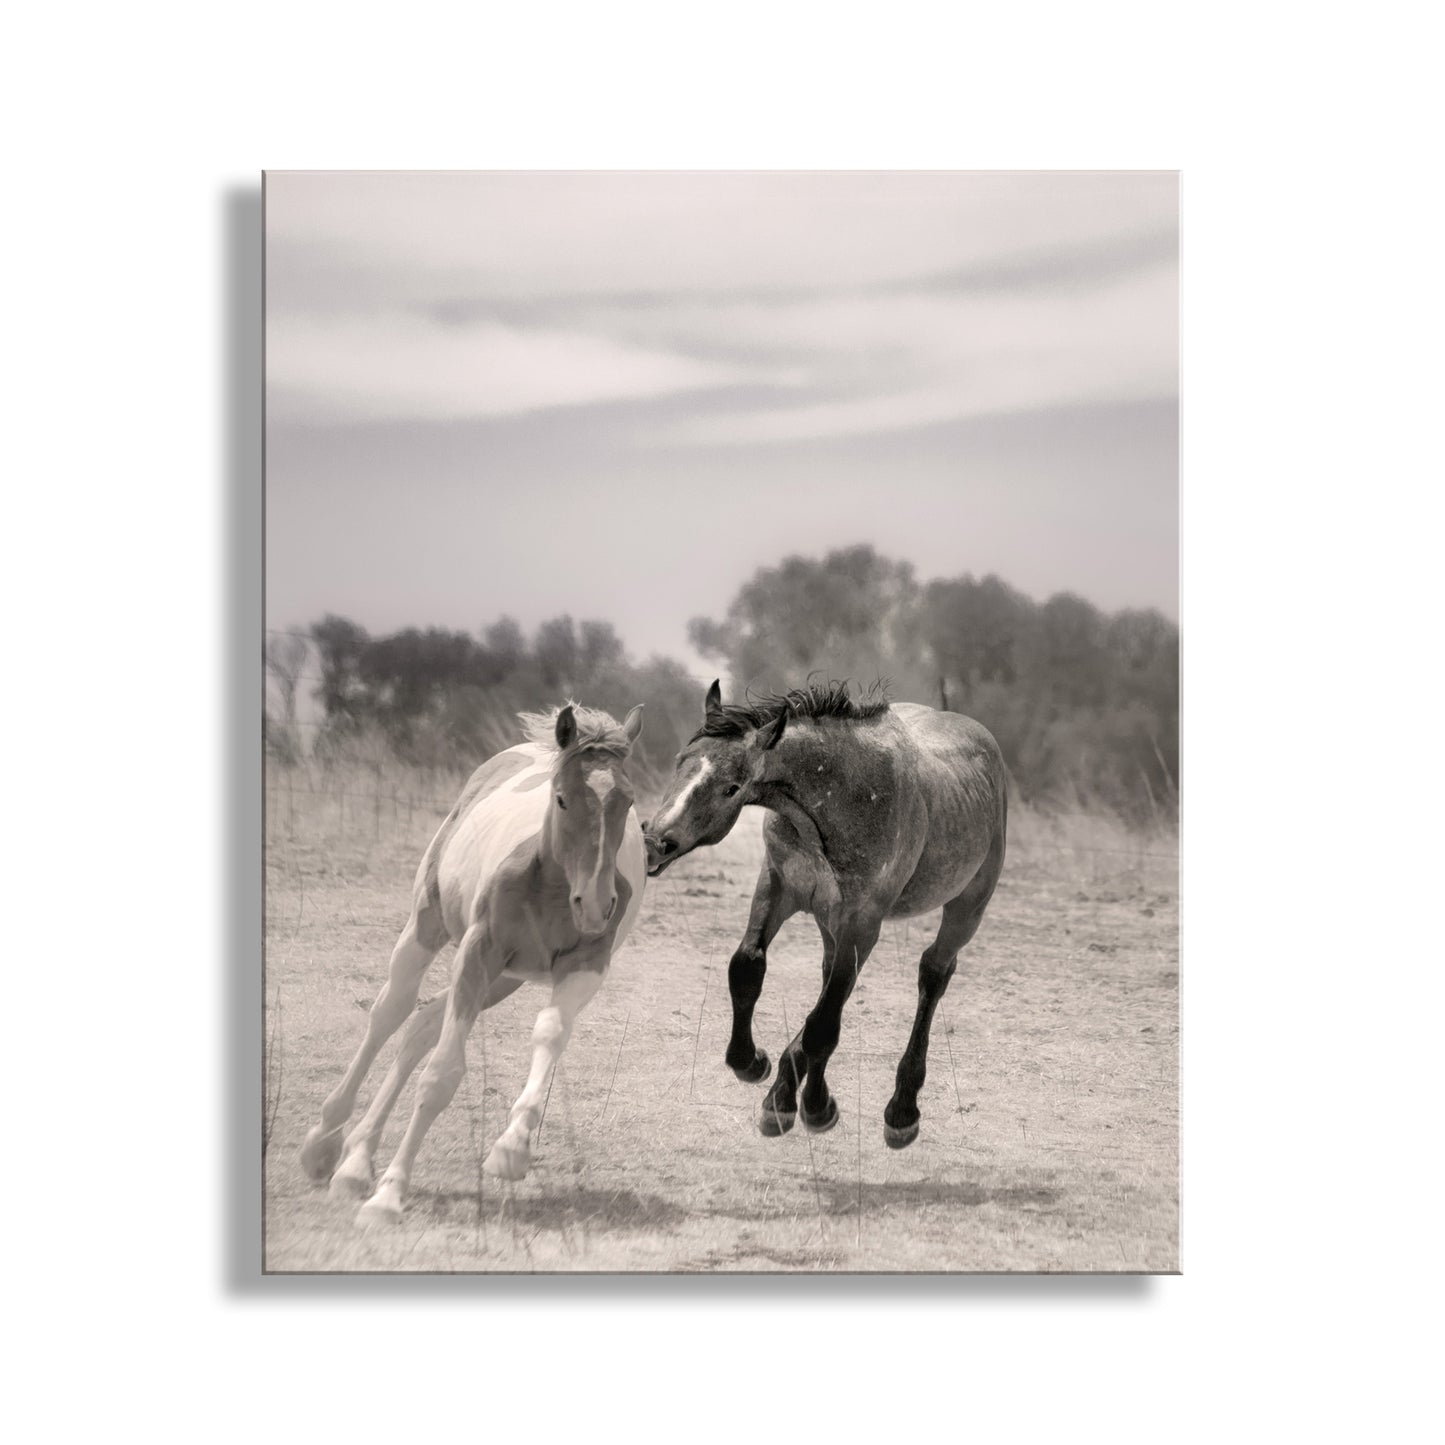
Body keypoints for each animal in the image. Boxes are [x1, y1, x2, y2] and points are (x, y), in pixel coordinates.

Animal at [298, 702, 646, 1226]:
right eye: (563, 799)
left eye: (626, 801)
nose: (596, 904)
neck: (549, 884)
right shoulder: (476, 950)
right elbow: (442, 1075)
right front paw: (389, 1197)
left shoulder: (585, 965)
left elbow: (549, 1034)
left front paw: (512, 1150)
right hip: (429, 928)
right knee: (390, 1012)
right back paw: (325, 1144)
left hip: (504, 980)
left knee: (421, 1025)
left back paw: (357, 1161)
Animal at [643, 679, 1006, 1148]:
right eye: (679, 763)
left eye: (732, 787)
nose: (655, 842)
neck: (841, 798)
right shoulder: (778, 886)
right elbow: (747, 969)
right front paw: (753, 1065)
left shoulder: (862, 923)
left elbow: (823, 1024)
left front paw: (815, 1108)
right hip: (829, 924)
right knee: (832, 981)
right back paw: (784, 1090)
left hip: (967, 907)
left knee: (932, 974)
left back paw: (901, 1110)